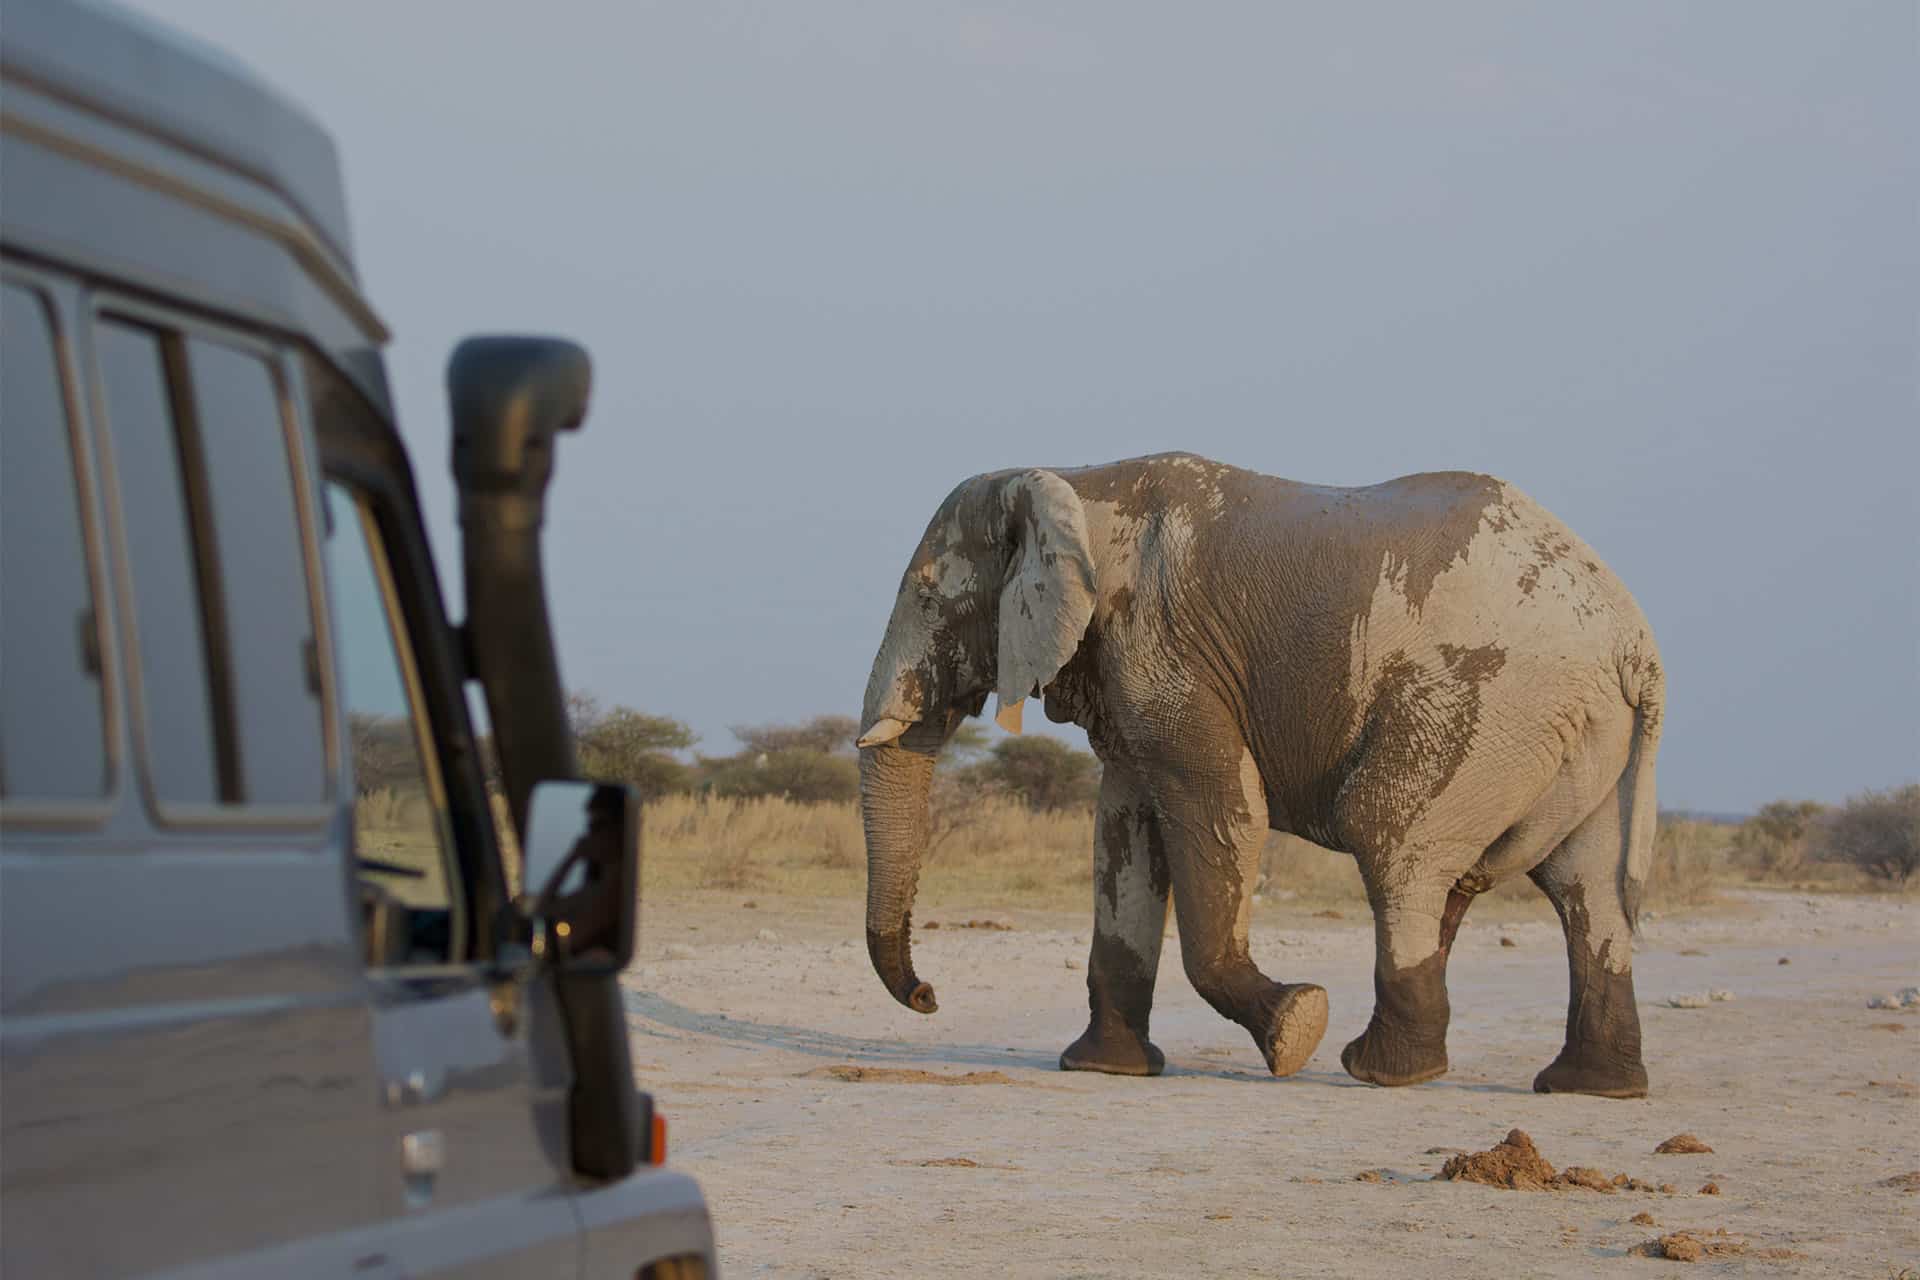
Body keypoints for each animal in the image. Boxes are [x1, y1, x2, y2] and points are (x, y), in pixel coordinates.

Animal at [856, 449, 1666, 1090]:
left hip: (1489, 700)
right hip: (1579, 729)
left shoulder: (1163, 648)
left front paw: (1295, 1029)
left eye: (928, 597)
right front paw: (1105, 1068)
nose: (929, 996)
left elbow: (1223, 808)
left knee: (1394, 842)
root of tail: (1633, 643)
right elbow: (1124, 832)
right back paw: (1589, 1087)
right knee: (1584, 885)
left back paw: (1381, 1071)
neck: (1071, 482)